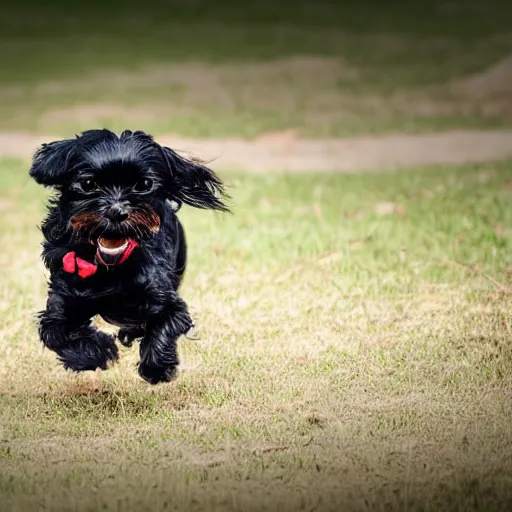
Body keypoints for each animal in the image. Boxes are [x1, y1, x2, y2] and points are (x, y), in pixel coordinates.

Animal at [28, 128, 228, 384]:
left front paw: (157, 368)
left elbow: (164, 323)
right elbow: (59, 332)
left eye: (144, 184)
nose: (117, 211)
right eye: (88, 183)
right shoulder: (62, 301)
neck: (109, 268)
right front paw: (97, 353)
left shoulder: (166, 299)